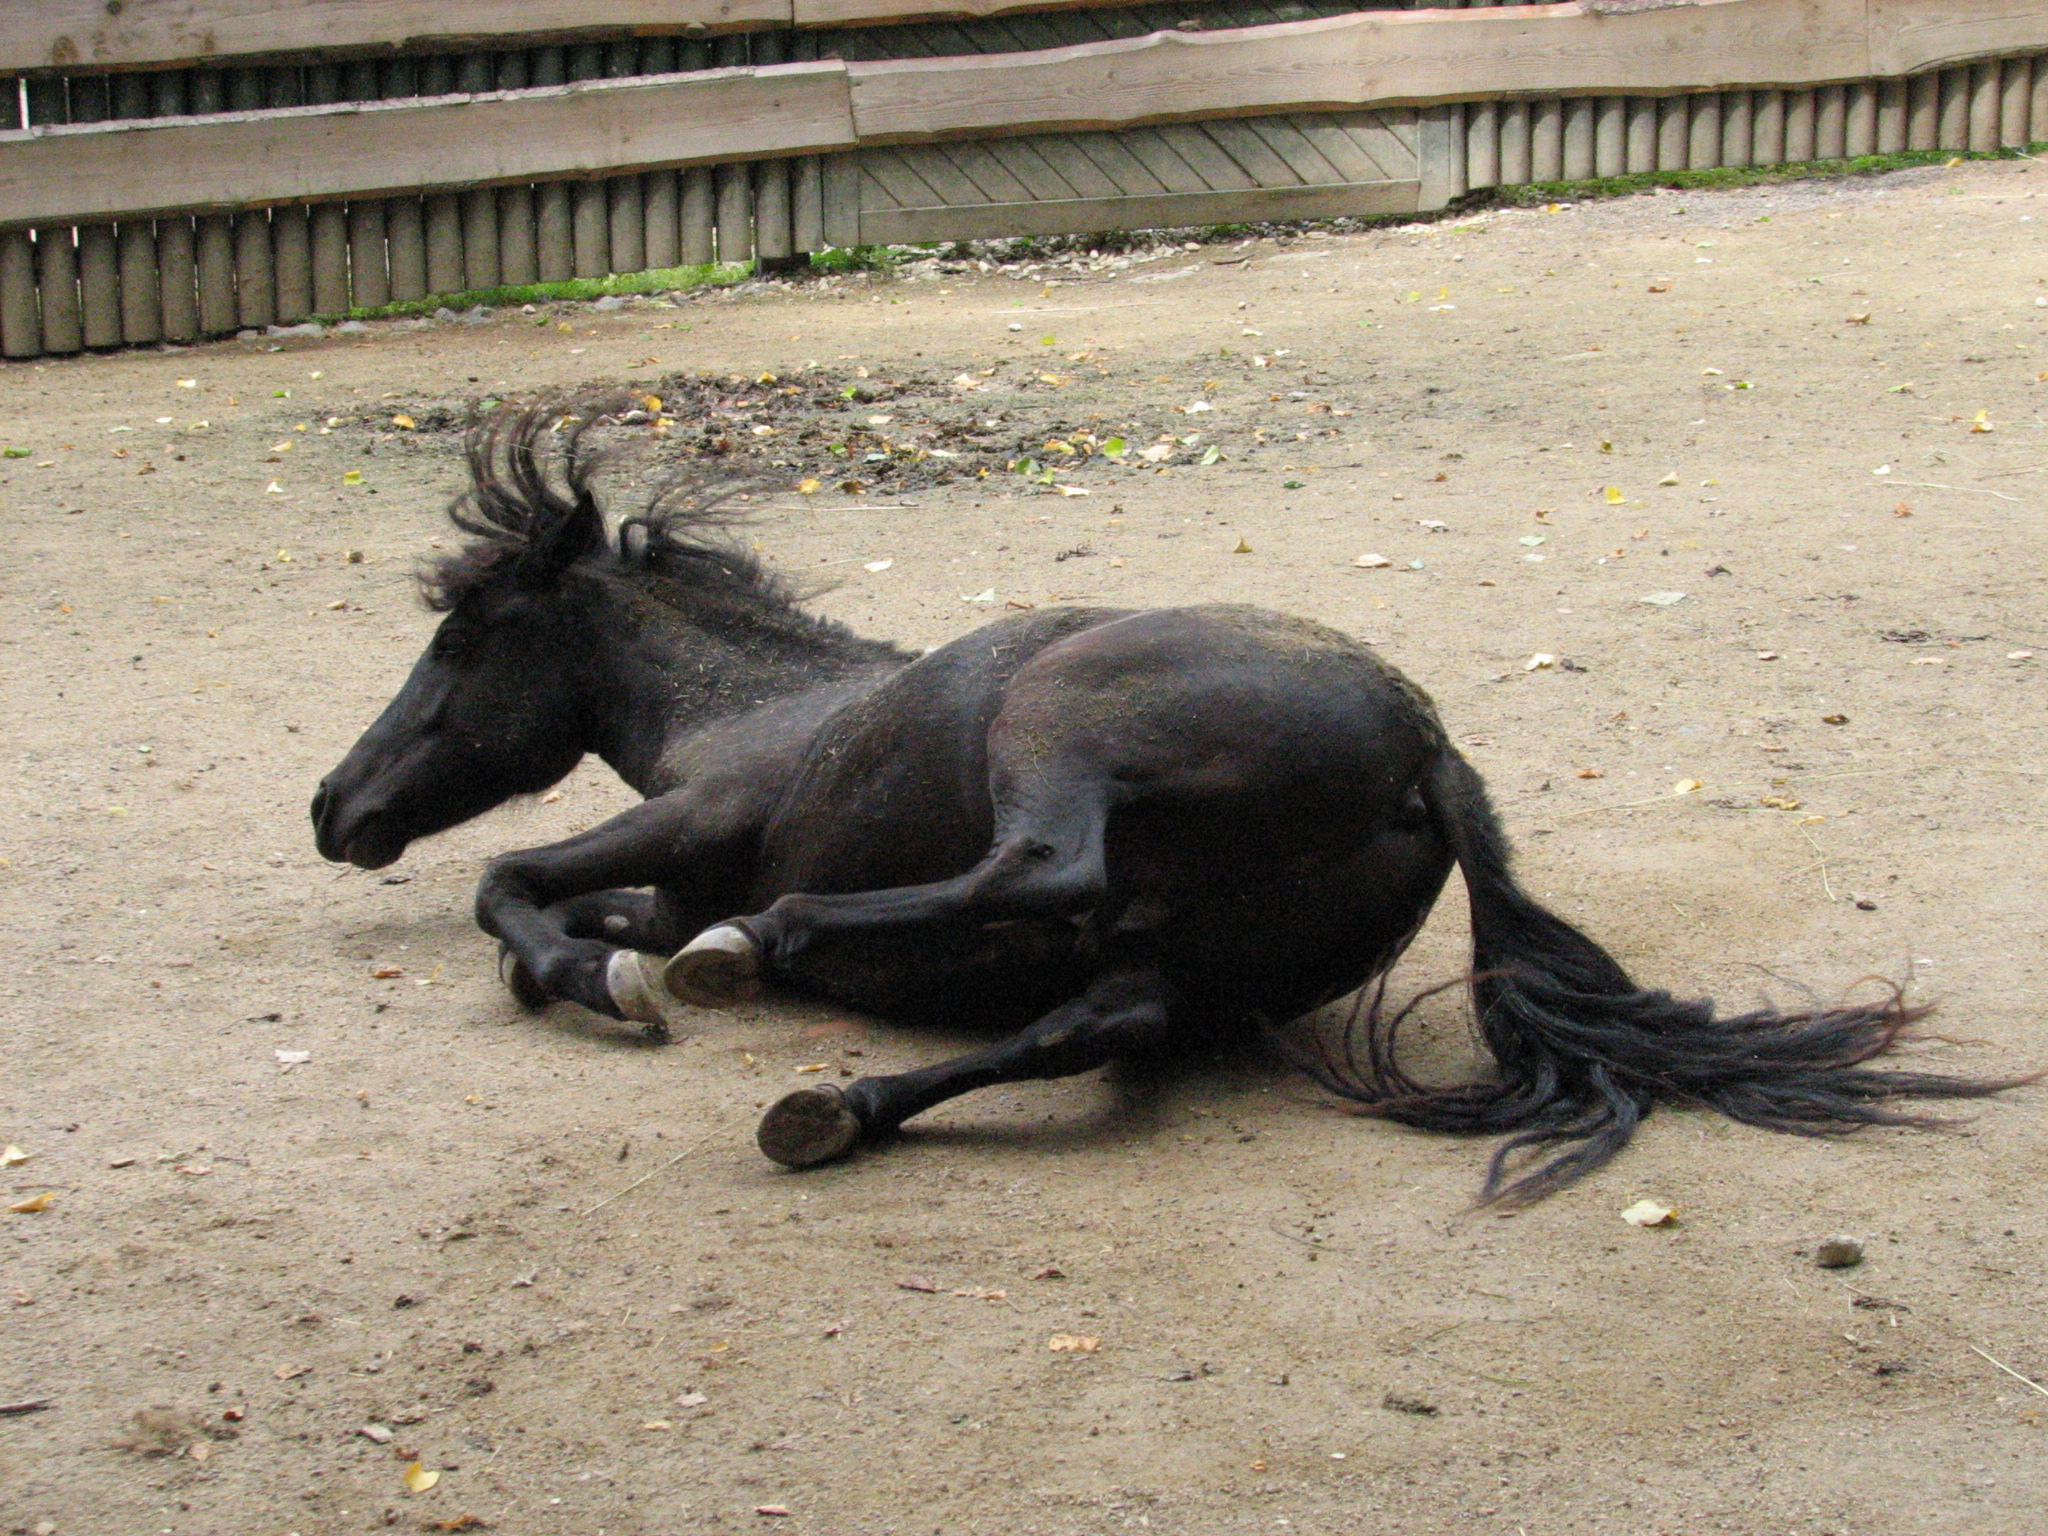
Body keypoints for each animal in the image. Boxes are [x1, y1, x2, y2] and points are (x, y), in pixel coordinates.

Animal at [311, 403, 2023, 1212]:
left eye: (458, 639)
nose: (336, 809)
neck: (755, 708)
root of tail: (1426, 753)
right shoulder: (658, 872)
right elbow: (556, 902)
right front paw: (601, 966)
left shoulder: (676, 839)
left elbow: (512, 884)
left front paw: (603, 981)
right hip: (1195, 974)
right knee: (1087, 1025)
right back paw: (831, 1110)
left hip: (1056, 733)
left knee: (1046, 876)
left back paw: (771, 959)